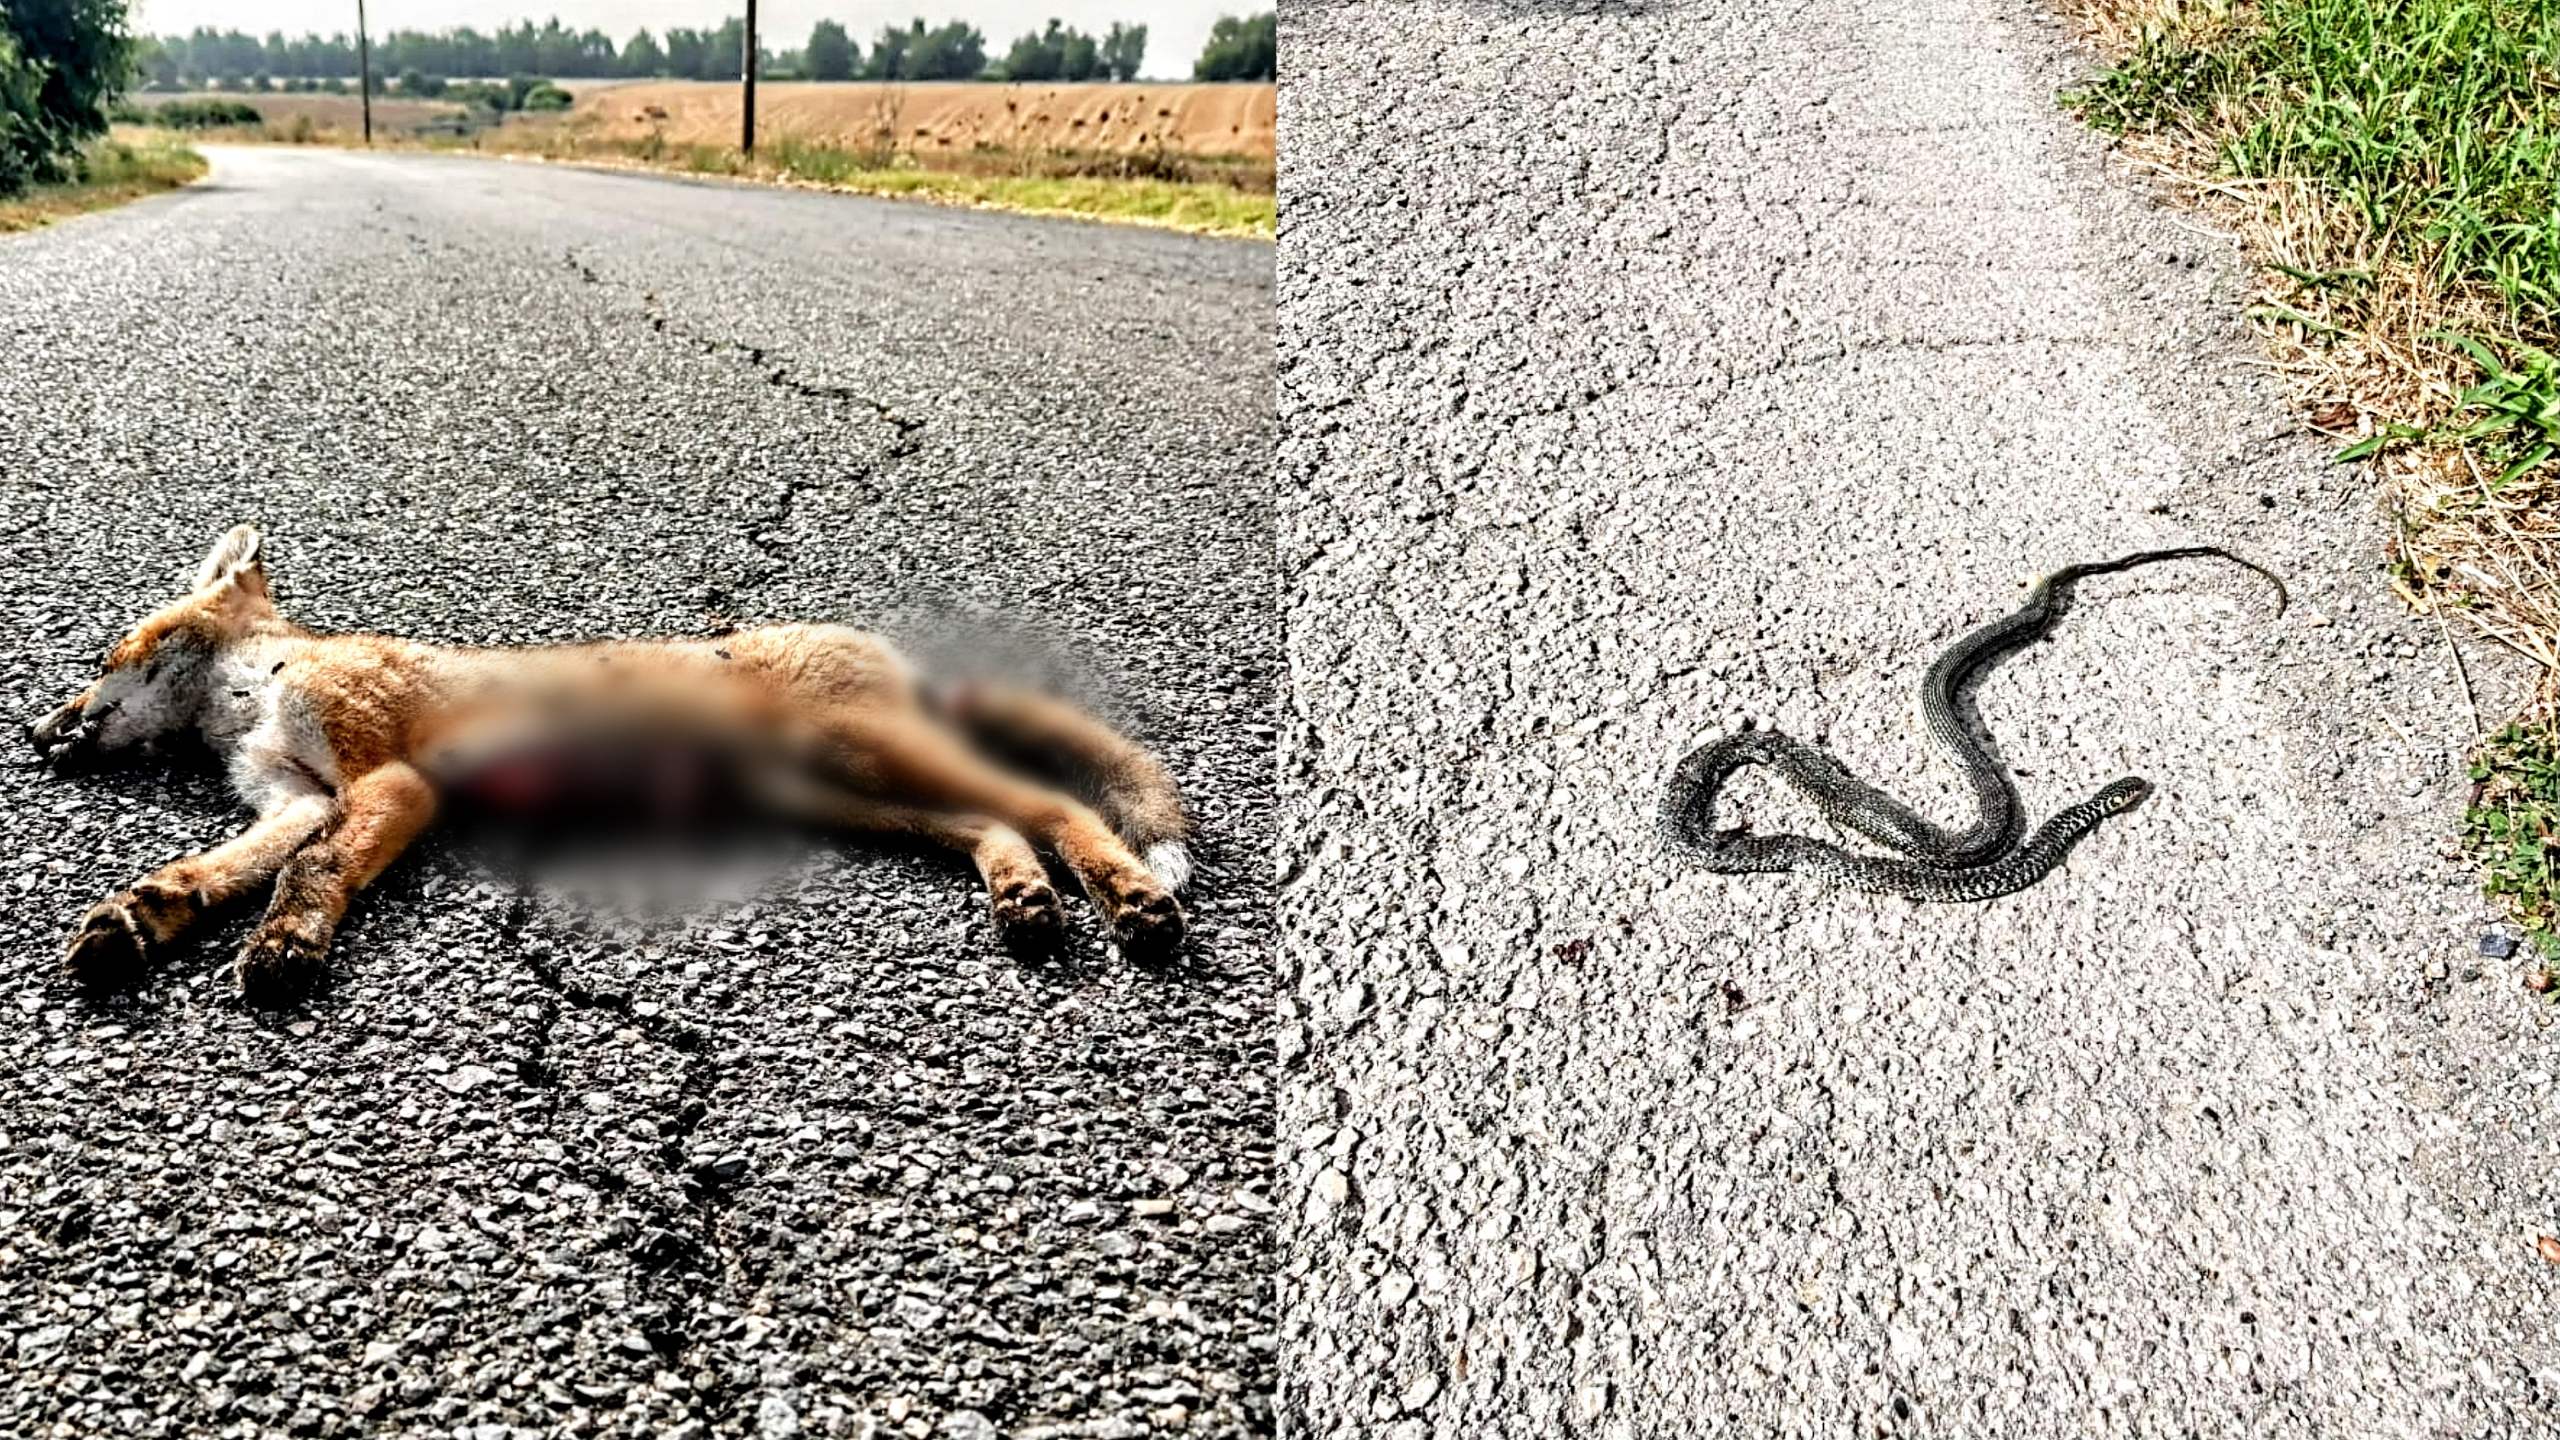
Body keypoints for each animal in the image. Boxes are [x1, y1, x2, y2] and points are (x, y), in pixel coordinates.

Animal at [30, 525, 1191, 1004]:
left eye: (104, 657)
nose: (41, 731)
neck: (259, 694)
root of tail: (901, 659)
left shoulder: (385, 781)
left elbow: (309, 874)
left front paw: (285, 947)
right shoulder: (295, 797)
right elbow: (211, 874)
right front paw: (137, 923)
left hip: (857, 755)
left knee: (1053, 806)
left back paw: (1132, 899)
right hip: (834, 792)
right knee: (995, 827)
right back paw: (1025, 902)